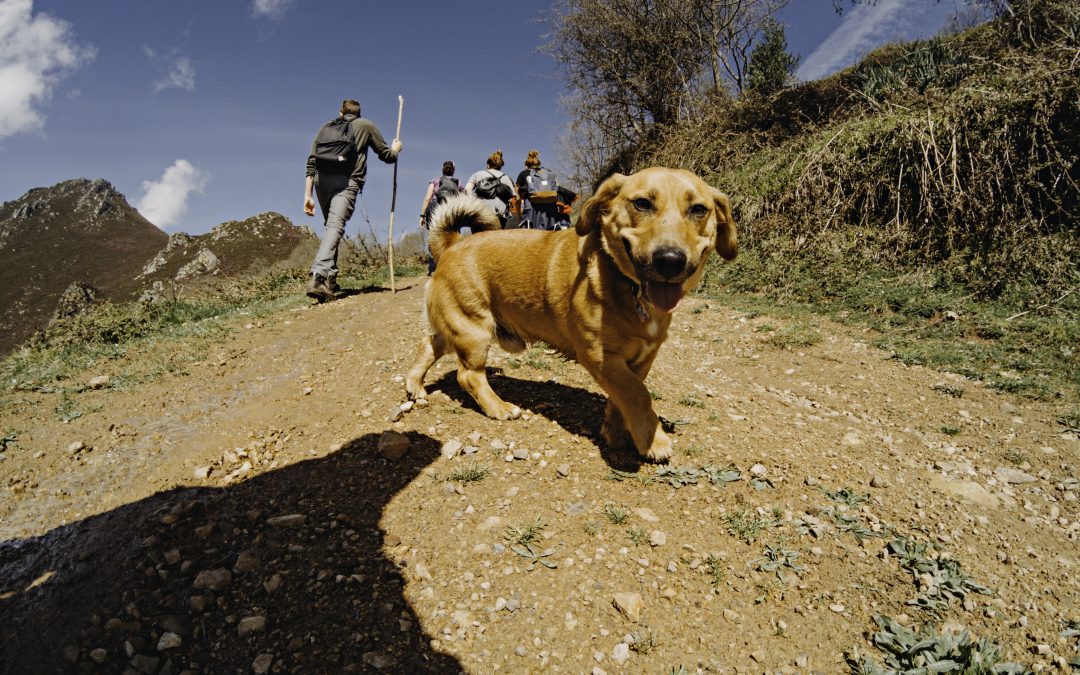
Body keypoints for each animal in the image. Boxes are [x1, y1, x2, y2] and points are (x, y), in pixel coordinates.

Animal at [406, 166, 734, 460]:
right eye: (642, 203)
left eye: (699, 209)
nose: (670, 260)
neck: (628, 288)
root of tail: (452, 244)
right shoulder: (599, 356)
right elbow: (638, 394)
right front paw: (653, 440)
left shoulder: (641, 359)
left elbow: (625, 396)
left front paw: (616, 431)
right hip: (474, 330)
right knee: (468, 376)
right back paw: (499, 407)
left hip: (456, 327)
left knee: (428, 345)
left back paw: (415, 386)